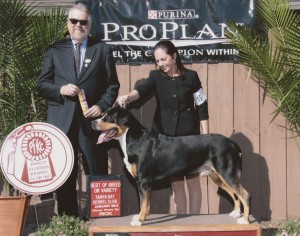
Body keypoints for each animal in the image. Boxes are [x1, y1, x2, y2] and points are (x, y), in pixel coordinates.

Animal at [92, 106, 251, 226]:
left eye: (107, 117)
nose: (92, 123)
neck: (133, 139)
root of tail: (231, 143)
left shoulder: (143, 180)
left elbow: (143, 202)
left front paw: (139, 221)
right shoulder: (142, 182)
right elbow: (145, 202)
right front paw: (142, 216)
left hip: (227, 173)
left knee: (244, 194)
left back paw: (244, 220)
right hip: (218, 176)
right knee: (234, 193)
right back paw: (236, 213)